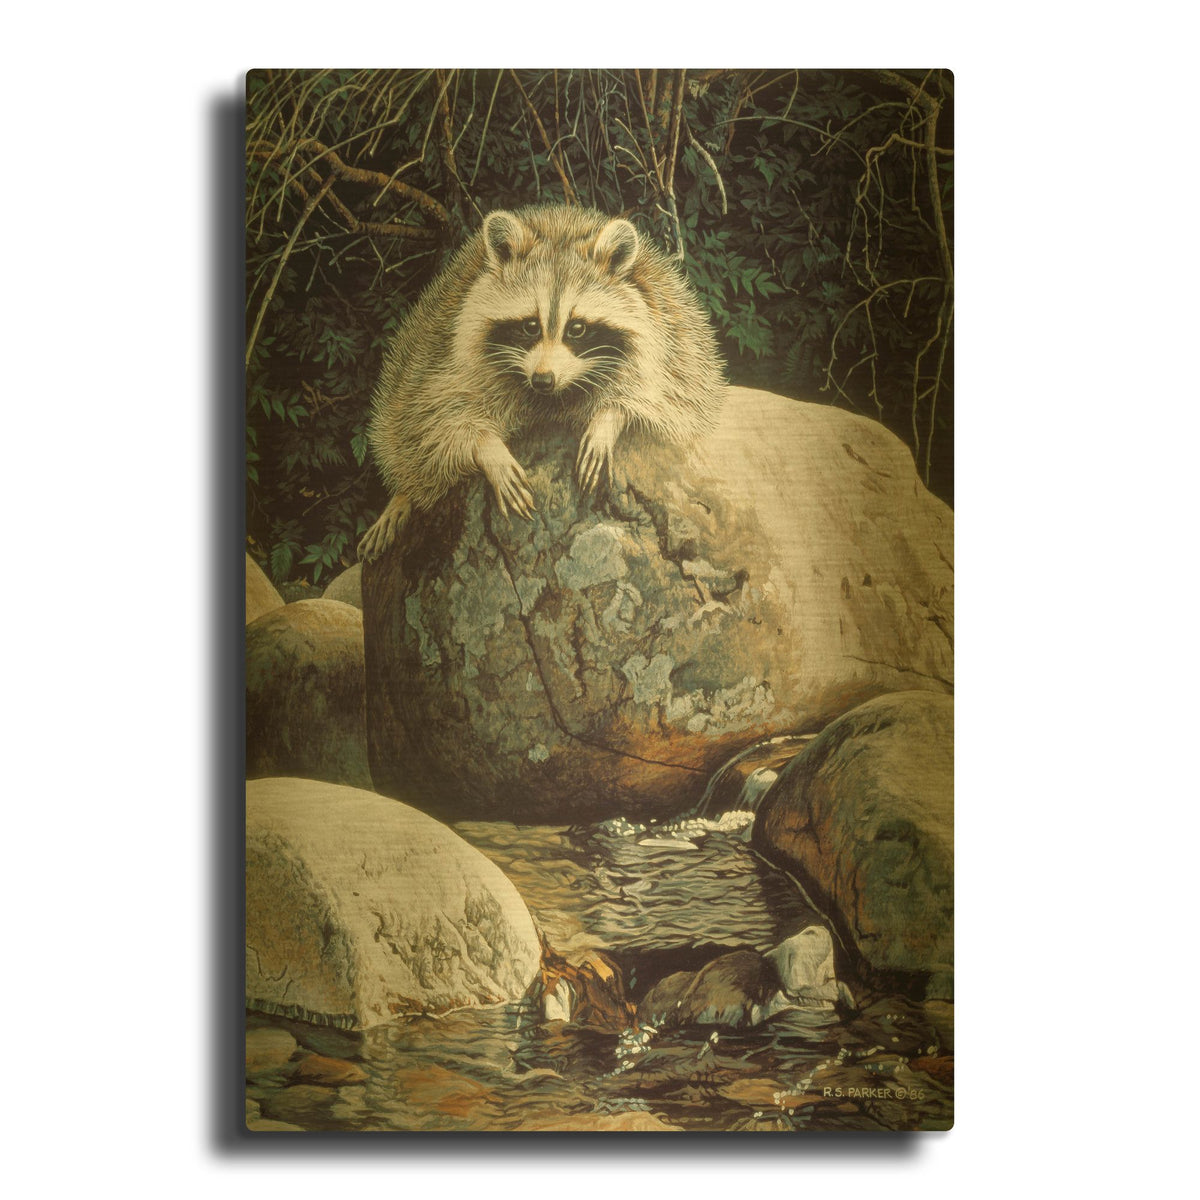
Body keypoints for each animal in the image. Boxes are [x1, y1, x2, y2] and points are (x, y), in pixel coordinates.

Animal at [358, 204, 726, 561]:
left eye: (576, 329)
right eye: (530, 326)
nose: (543, 379)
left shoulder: (673, 336)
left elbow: (670, 397)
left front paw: (608, 418)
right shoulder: (449, 355)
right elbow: (434, 418)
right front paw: (487, 447)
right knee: (401, 433)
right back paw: (403, 495)